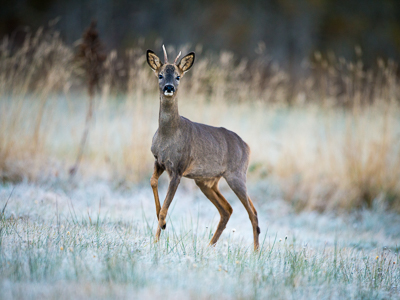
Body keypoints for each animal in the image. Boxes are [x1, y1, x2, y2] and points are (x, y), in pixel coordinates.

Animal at [147, 45, 260, 250]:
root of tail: (246, 146)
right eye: (160, 75)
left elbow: (165, 209)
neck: (168, 135)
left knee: (252, 212)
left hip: (237, 175)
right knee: (227, 209)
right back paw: (210, 246)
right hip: (207, 181)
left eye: (178, 76)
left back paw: (255, 252)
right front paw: (163, 225)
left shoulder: (178, 169)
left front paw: (156, 240)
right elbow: (152, 182)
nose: (169, 88)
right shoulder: (159, 161)